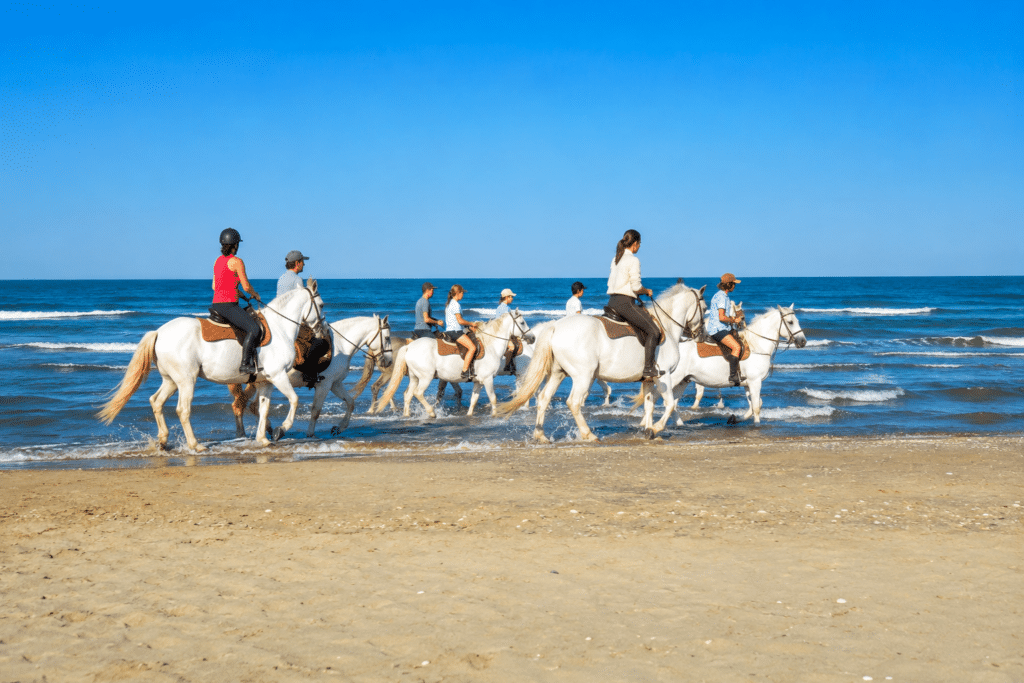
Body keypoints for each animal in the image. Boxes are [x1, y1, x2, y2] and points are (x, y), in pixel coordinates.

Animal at [98, 281, 327, 451]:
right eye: (322, 305)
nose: (323, 330)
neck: (280, 328)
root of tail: (159, 332)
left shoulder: (266, 382)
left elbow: (263, 408)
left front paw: (263, 438)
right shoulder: (278, 375)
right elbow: (294, 400)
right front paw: (281, 429)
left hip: (171, 380)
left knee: (156, 401)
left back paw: (163, 441)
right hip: (186, 380)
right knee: (183, 410)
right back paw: (195, 445)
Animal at [227, 314, 393, 438]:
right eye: (387, 338)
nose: (389, 361)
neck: (340, 346)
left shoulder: (335, 384)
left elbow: (351, 403)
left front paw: (338, 428)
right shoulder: (324, 384)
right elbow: (316, 411)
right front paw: (311, 434)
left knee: (250, 405)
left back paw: (265, 429)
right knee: (244, 404)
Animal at [373, 310, 535, 418]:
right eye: (522, 322)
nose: (532, 338)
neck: (491, 345)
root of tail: (409, 346)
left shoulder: (479, 381)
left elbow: (473, 399)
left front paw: (469, 415)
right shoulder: (488, 379)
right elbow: (493, 398)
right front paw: (495, 415)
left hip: (414, 377)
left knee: (408, 395)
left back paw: (407, 415)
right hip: (425, 377)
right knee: (417, 393)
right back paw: (431, 413)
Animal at [498, 283, 706, 441]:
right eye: (704, 309)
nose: (702, 335)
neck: (666, 327)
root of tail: (555, 326)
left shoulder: (649, 379)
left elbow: (649, 404)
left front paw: (647, 430)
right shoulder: (664, 376)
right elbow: (669, 404)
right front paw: (655, 429)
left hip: (558, 374)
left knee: (543, 398)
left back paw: (541, 435)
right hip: (583, 376)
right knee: (573, 402)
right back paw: (588, 434)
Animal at [641, 305, 806, 427]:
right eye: (790, 322)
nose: (803, 341)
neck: (757, 346)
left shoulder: (748, 384)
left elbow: (754, 405)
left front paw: (735, 418)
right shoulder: (755, 382)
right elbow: (757, 407)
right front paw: (757, 425)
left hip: (683, 381)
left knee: (671, 403)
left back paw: (677, 424)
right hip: (673, 379)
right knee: (655, 398)